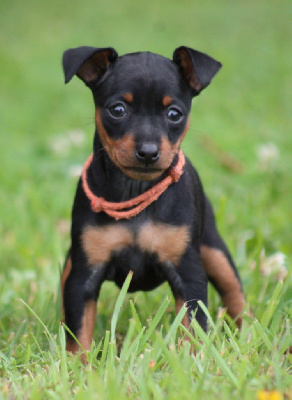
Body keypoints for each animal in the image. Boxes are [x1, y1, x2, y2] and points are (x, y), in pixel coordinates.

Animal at [61, 45, 244, 354]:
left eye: (174, 114)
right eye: (117, 110)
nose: (148, 152)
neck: (134, 189)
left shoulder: (189, 274)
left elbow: (193, 326)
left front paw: (192, 358)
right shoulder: (83, 274)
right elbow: (79, 333)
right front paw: (77, 364)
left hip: (214, 250)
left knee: (235, 292)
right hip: (70, 262)